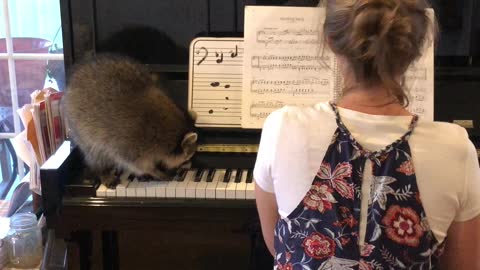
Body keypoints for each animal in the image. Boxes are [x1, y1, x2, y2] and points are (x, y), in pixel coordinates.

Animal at [62, 53, 197, 187]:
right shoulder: (129, 144)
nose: (188, 167)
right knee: (94, 153)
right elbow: (137, 165)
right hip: (81, 128)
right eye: (187, 158)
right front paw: (154, 171)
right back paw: (102, 171)